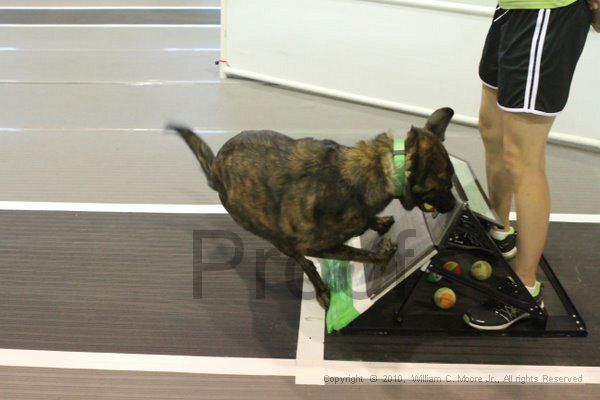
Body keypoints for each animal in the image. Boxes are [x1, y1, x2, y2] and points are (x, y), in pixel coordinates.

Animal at [168, 108, 454, 308]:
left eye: (451, 181)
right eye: (442, 185)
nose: (453, 206)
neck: (371, 169)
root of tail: (215, 169)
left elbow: (367, 223)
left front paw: (376, 222)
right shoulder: (317, 246)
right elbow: (360, 254)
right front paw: (383, 254)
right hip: (280, 239)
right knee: (305, 263)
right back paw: (321, 289)